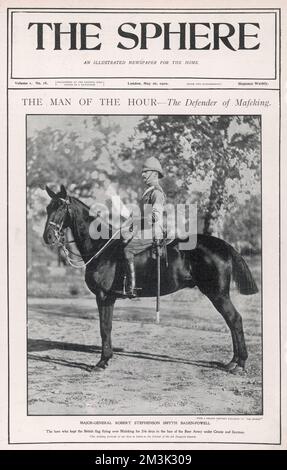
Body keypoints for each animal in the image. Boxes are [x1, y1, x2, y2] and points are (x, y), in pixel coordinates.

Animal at [43, 185, 260, 372]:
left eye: (61, 206)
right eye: (47, 207)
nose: (48, 237)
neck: (101, 248)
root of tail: (224, 245)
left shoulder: (103, 297)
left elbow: (104, 327)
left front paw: (102, 361)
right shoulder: (108, 298)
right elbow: (107, 326)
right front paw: (106, 358)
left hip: (218, 294)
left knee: (235, 319)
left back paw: (240, 363)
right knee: (232, 321)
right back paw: (233, 362)